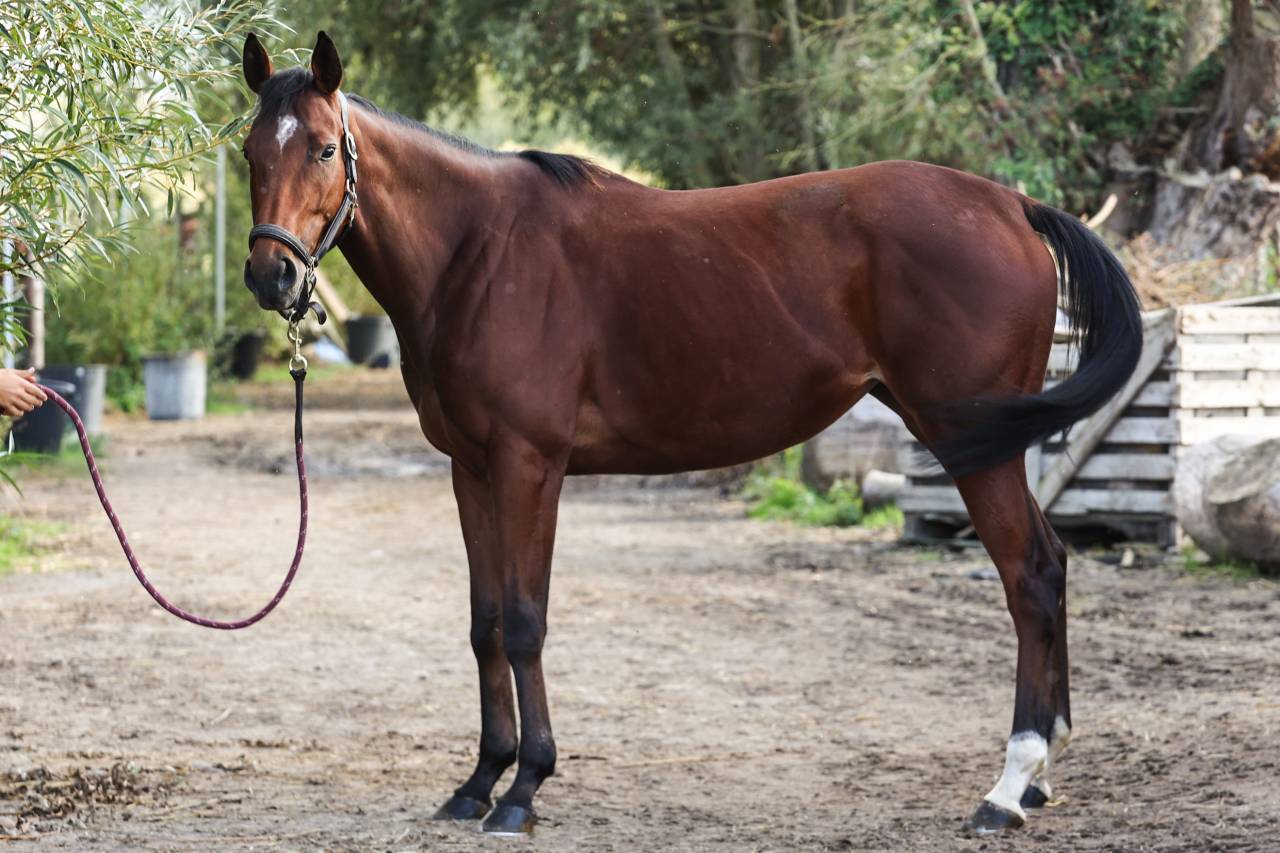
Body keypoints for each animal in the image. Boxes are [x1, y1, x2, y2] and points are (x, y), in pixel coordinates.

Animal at [238, 32, 1142, 836]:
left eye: (324, 149)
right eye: (250, 151)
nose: (270, 275)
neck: (480, 252)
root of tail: (1012, 205)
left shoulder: (530, 465)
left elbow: (526, 620)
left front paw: (525, 789)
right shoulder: (472, 468)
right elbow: (484, 620)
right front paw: (479, 780)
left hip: (971, 441)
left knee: (1029, 575)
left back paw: (1008, 785)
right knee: (1051, 565)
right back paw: (1040, 776)